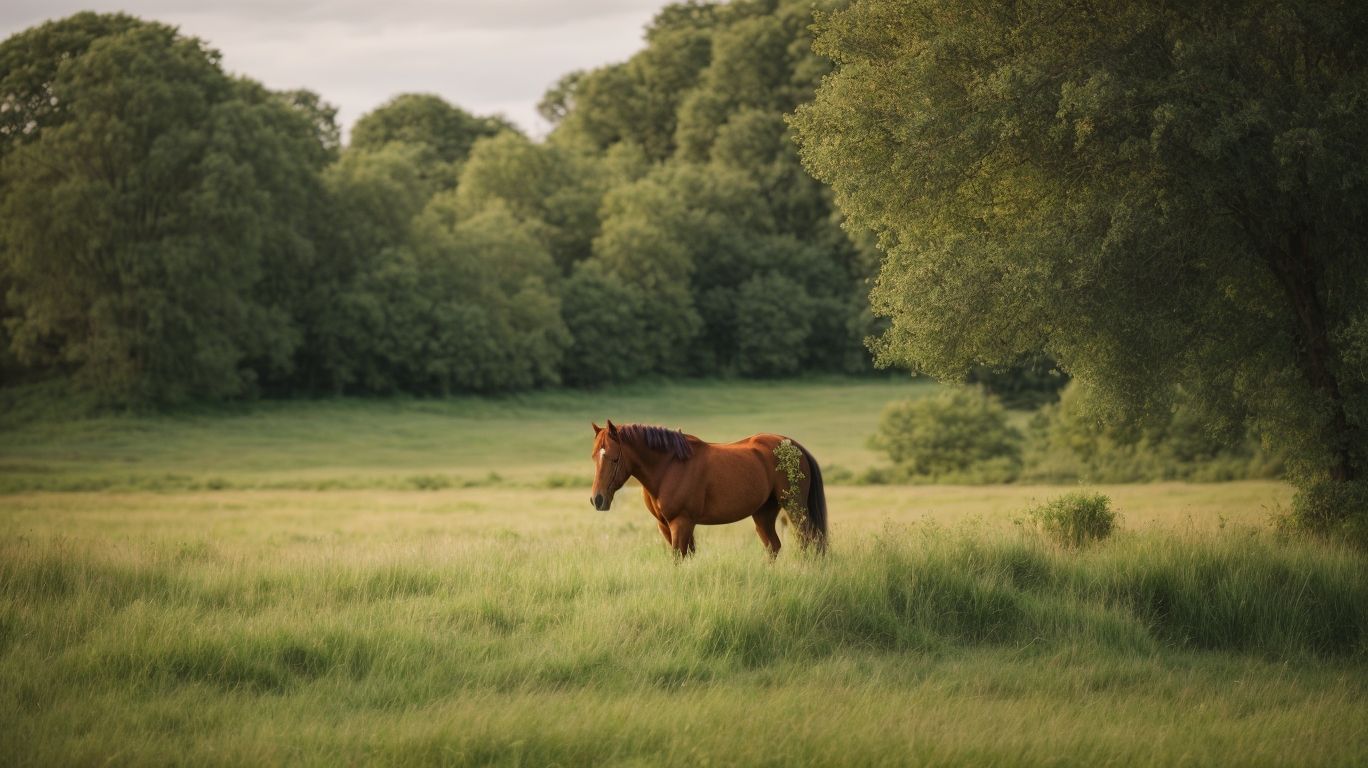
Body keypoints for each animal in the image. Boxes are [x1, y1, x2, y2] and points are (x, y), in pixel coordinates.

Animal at [589, 420, 827, 558]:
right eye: (593, 456)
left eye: (614, 458)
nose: (597, 499)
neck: (668, 466)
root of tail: (793, 445)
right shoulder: (666, 526)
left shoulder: (681, 523)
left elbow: (678, 557)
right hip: (763, 513)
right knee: (773, 546)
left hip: (795, 507)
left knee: (809, 541)